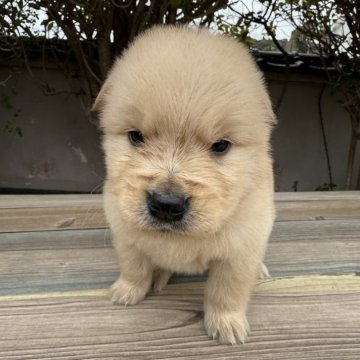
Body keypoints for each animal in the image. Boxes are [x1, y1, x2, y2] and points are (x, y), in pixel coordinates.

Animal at [93, 25, 276, 344]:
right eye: (136, 136)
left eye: (220, 145)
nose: (166, 205)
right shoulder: (124, 231)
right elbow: (133, 265)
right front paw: (126, 292)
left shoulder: (241, 247)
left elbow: (227, 290)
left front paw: (226, 325)